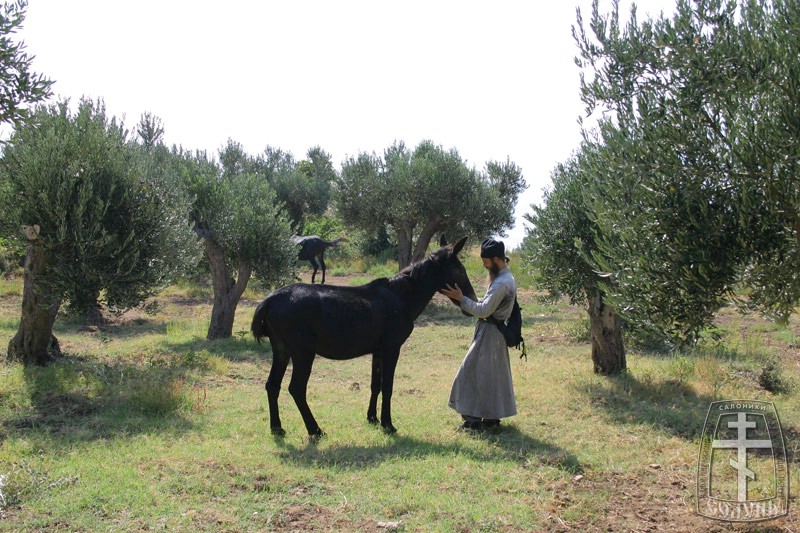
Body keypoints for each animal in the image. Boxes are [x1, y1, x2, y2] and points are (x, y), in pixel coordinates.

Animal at [250, 235, 476, 434]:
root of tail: (270, 299)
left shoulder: (378, 350)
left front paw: (372, 418)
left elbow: (375, 385)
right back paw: (314, 429)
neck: (401, 297)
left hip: (281, 350)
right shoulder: (391, 348)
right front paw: (388, 424)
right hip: (302, 353)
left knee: (272, 385)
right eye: (459, 270)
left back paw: (277, 428)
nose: (472, 301)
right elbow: (388, 386)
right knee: (296, 388)